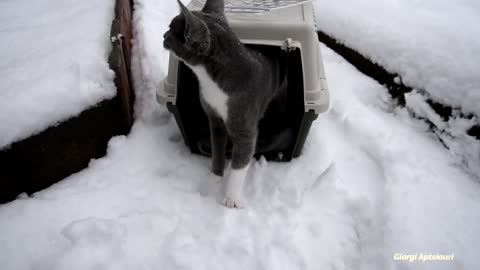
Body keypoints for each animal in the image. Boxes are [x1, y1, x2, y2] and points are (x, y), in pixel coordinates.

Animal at [163, 0, 286, 209]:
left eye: (172, 30)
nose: (163, 35)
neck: (214, 81)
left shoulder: (244, 122)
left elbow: (241, 159)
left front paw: (232, 198)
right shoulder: (214, 117)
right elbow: (217, 146)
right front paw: (215, 177)